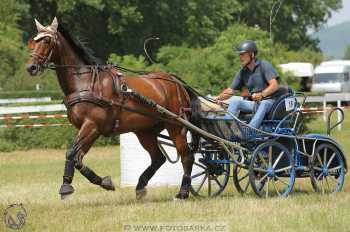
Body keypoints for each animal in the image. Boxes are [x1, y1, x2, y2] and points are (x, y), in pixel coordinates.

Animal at [25, 17, 200, 199]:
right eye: (32, 41)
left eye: (47, 40)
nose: (31, 67)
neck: (85, 83)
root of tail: (176, 82)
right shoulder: (91, 130)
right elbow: (78, 158)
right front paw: (103, 182)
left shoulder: (91, 126)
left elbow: (71, 152)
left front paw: (66, 186)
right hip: (145, 131)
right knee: (158, 158)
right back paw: (141, 186)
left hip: (175, 126)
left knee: (187, 156)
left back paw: (183, 192)